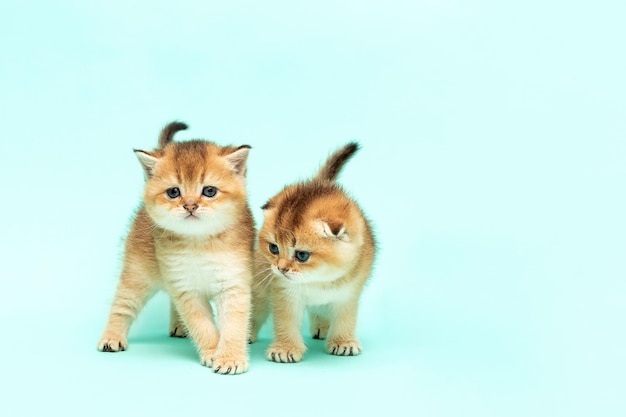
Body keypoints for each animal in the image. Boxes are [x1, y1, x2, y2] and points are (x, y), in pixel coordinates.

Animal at [97, 121, 254, 374]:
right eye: (173, 192)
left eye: (209, 191)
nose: (190, 206)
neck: (200, 242)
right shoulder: (186, 289)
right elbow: (202, 326)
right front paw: (212, 352)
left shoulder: (233, 284)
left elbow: (233, 326)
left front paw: (230, 358)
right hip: (137, 273)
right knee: (123, 304)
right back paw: (112, 337)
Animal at [250, 142, 376, 360]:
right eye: (274, 248)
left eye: (302, 255)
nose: (281, 268)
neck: (319, 281)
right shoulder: (284, 293)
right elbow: (286, 322)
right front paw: (286, 349)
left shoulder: (348, 294)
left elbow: (345, 318)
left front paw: (343, 342)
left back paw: (321, 327)